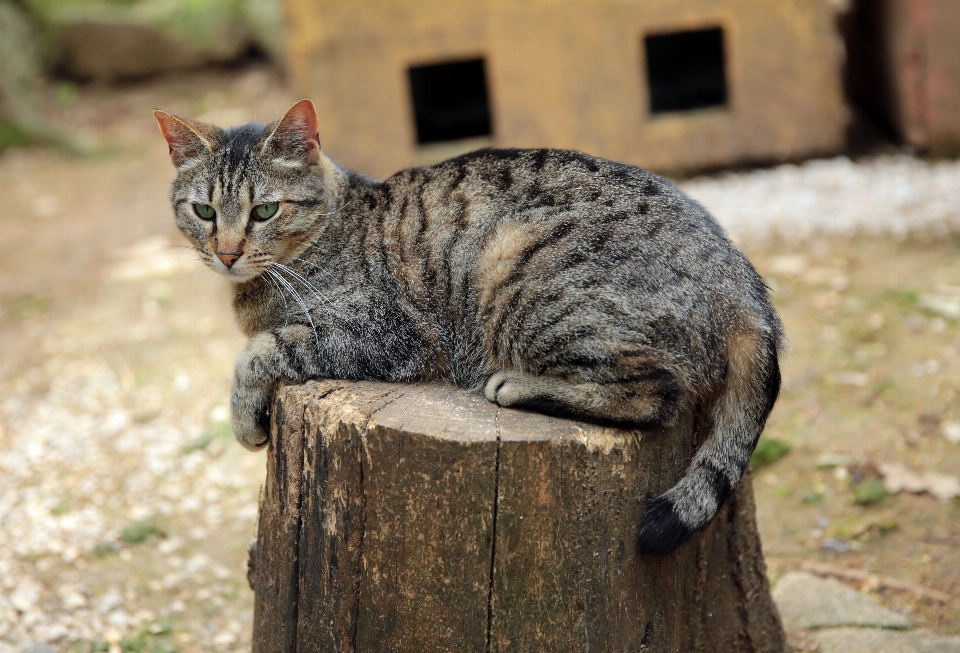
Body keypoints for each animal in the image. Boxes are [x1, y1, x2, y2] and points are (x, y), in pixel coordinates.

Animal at [156, 98, 780, 556]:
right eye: (204, 211)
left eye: (265, 211)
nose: (228, 252)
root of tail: (742, 277)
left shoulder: (387, 333)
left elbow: (261, 350)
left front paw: (244, 417)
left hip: (521, 269)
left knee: (657, 394)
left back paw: (518, 386)